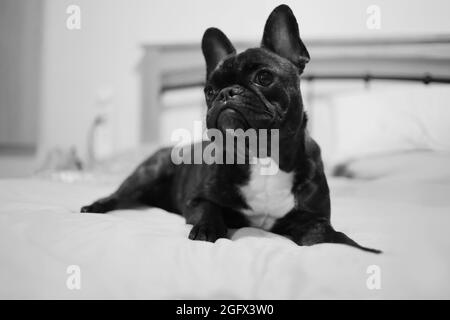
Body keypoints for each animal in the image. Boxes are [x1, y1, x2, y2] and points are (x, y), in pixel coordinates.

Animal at [81, 5, 380, 254]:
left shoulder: (311, 219)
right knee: (119, 194)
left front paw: (356, 247)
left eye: (264, 77)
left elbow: (328, 236)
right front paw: (207, 229)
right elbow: (210, 210)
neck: (262, 156)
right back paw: (95, 206)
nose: (226, 93)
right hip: (149, 170)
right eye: (209, 91)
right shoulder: (197, 200)